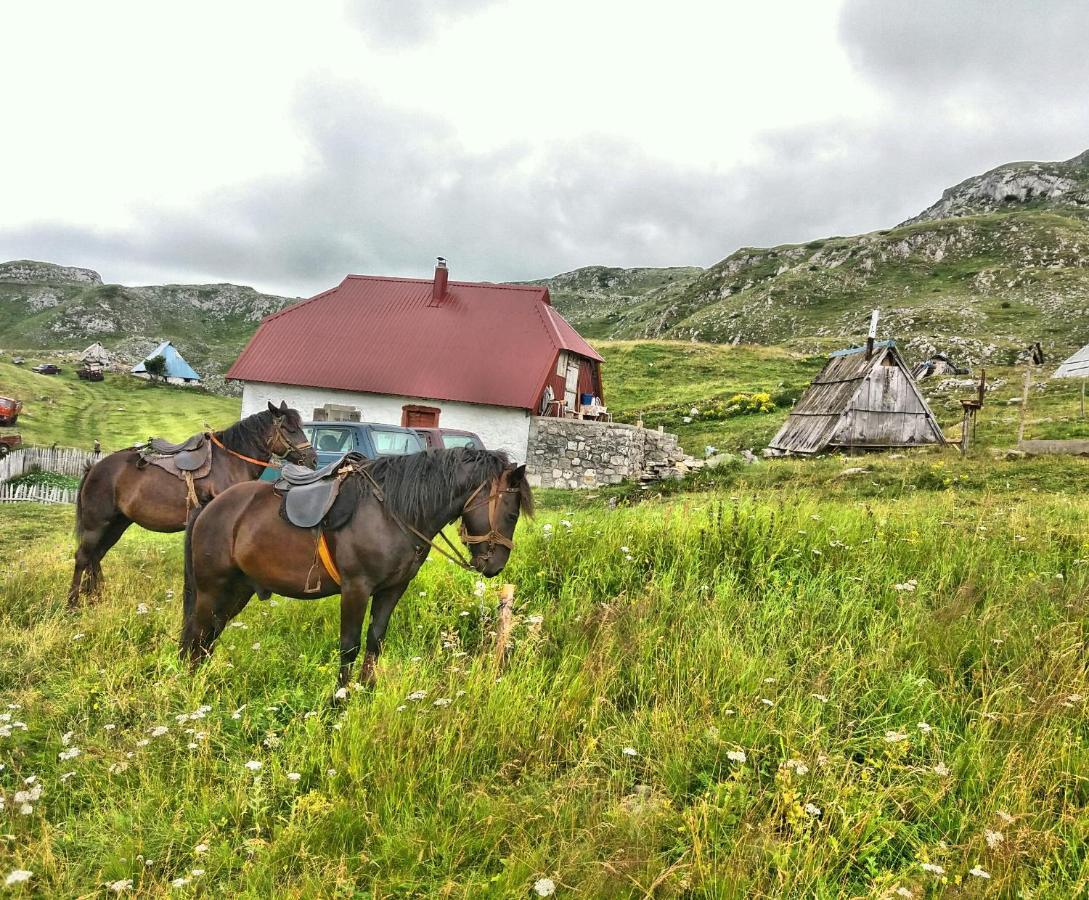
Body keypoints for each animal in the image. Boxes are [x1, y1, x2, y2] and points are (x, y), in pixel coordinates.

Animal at [71, 398, 315, 601]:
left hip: (117, 523)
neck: (230, 461)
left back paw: (96, 597)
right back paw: (73, 604)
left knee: (96, 556)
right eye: (290, 429)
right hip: (96, 524)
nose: (312, 459)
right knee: (83, 557)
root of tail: (94, 468)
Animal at [180, 446, 533, 688]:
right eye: (511, 513)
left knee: (210, 636)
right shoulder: (356, 589)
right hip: (212, 589)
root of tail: (210, 507)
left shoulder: (392, 589)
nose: (495, 566)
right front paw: (340, 699)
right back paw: (192, 687)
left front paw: (367, 689)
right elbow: (349, 646)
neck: (391, 512)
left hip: (238, 590)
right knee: (197, 635)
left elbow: (376, 640)